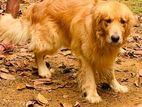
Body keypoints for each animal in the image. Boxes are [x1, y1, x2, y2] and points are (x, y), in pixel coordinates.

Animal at [0, 0, 134, 103]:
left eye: (123, 21)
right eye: (108, 20)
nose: (115, 38)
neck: (99, 36)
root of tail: (36, 6)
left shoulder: (108, 56)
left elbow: (111, 74)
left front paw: (117, 86)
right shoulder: (86, 57)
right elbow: (90, 78)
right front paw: (93, 95)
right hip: (52, 41)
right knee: (37, 52)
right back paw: (43, 71)